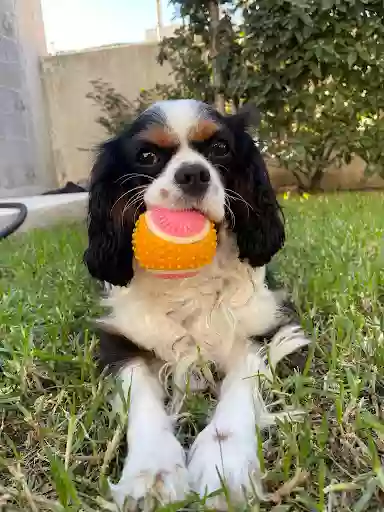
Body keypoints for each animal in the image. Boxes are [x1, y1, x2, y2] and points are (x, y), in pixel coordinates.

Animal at [83, 99, 308, 508]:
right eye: (147, 156)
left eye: (220, 148)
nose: (193, 174)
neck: (189, 277)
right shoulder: (122, 344)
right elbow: (142, 399)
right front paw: (150, 472)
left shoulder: (266, 331)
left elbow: (239, 388)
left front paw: (225, 466)